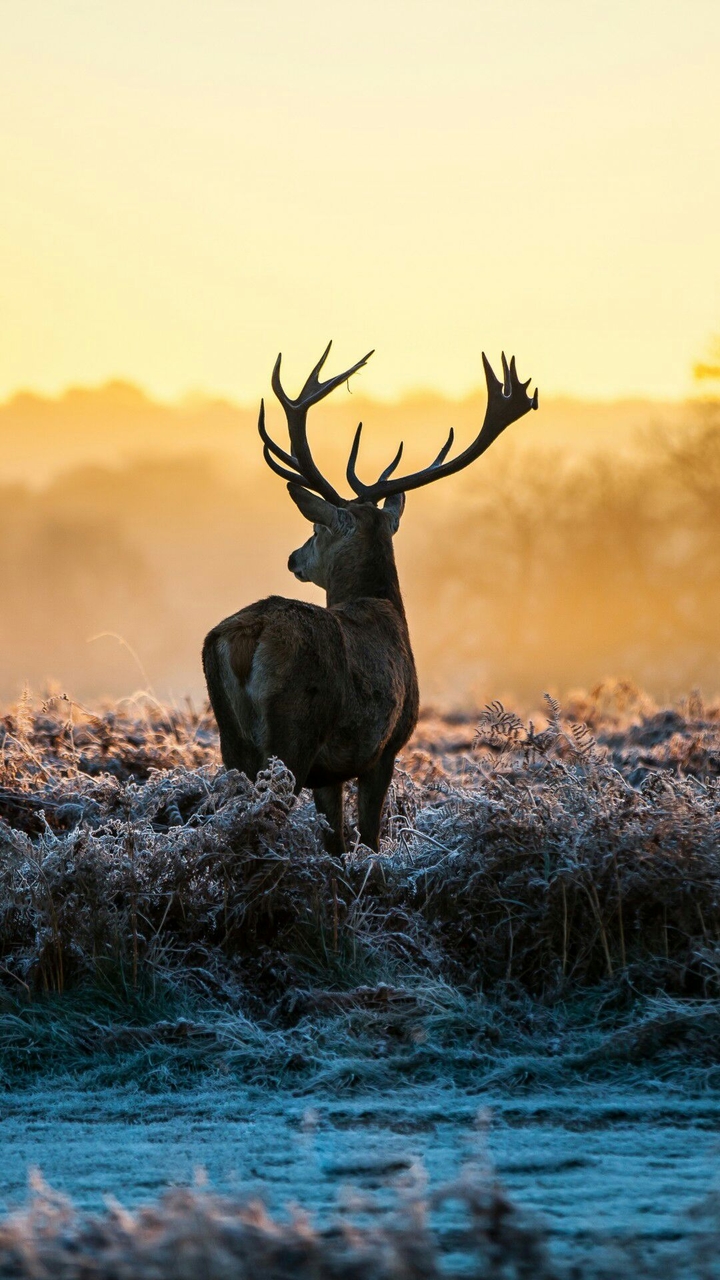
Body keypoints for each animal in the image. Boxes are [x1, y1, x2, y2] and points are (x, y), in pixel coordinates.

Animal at [202, 343, 537, 856]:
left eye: (316, 527)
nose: (293, 557)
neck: (384, 608)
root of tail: (247, 636)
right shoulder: (385, 747)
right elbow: (370, 838)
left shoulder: (331, 771)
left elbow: (336, 841)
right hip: (294, 732)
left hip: (232, 741)